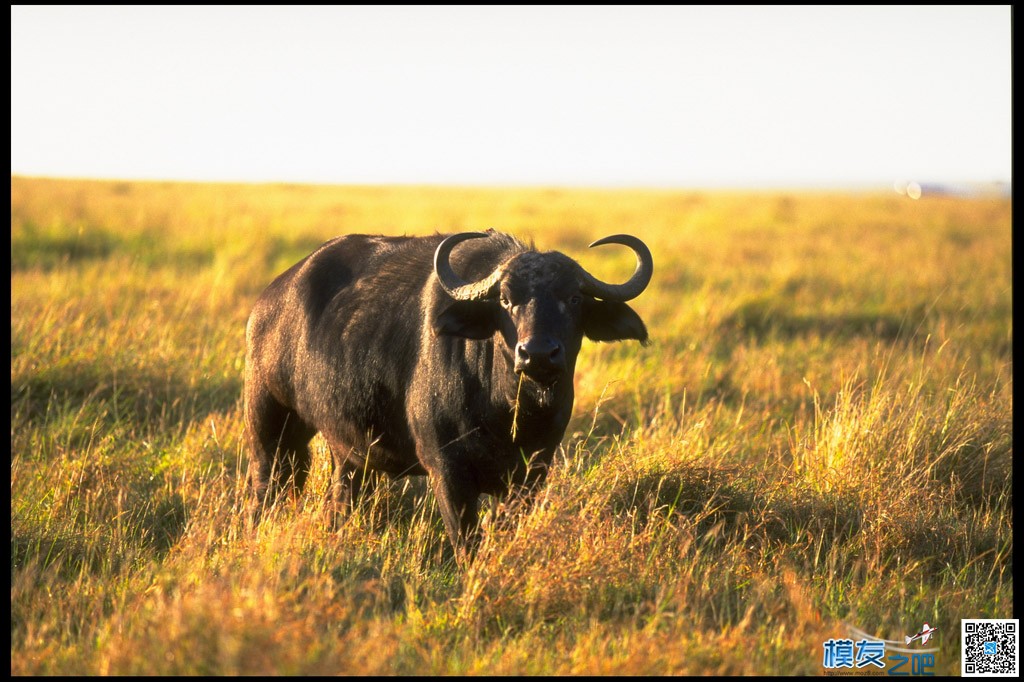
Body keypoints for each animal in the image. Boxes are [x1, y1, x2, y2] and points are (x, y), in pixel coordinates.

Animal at [243, 228, 651, 552]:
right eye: (505, 299)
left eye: (574, 298)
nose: (537, 353)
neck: (508, 412)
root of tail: (269, 301)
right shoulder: (448, 473)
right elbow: (467, 544)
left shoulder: (531, 475)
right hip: (270, 425)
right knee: (268, 487)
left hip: (350, 453)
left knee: (341, 499)